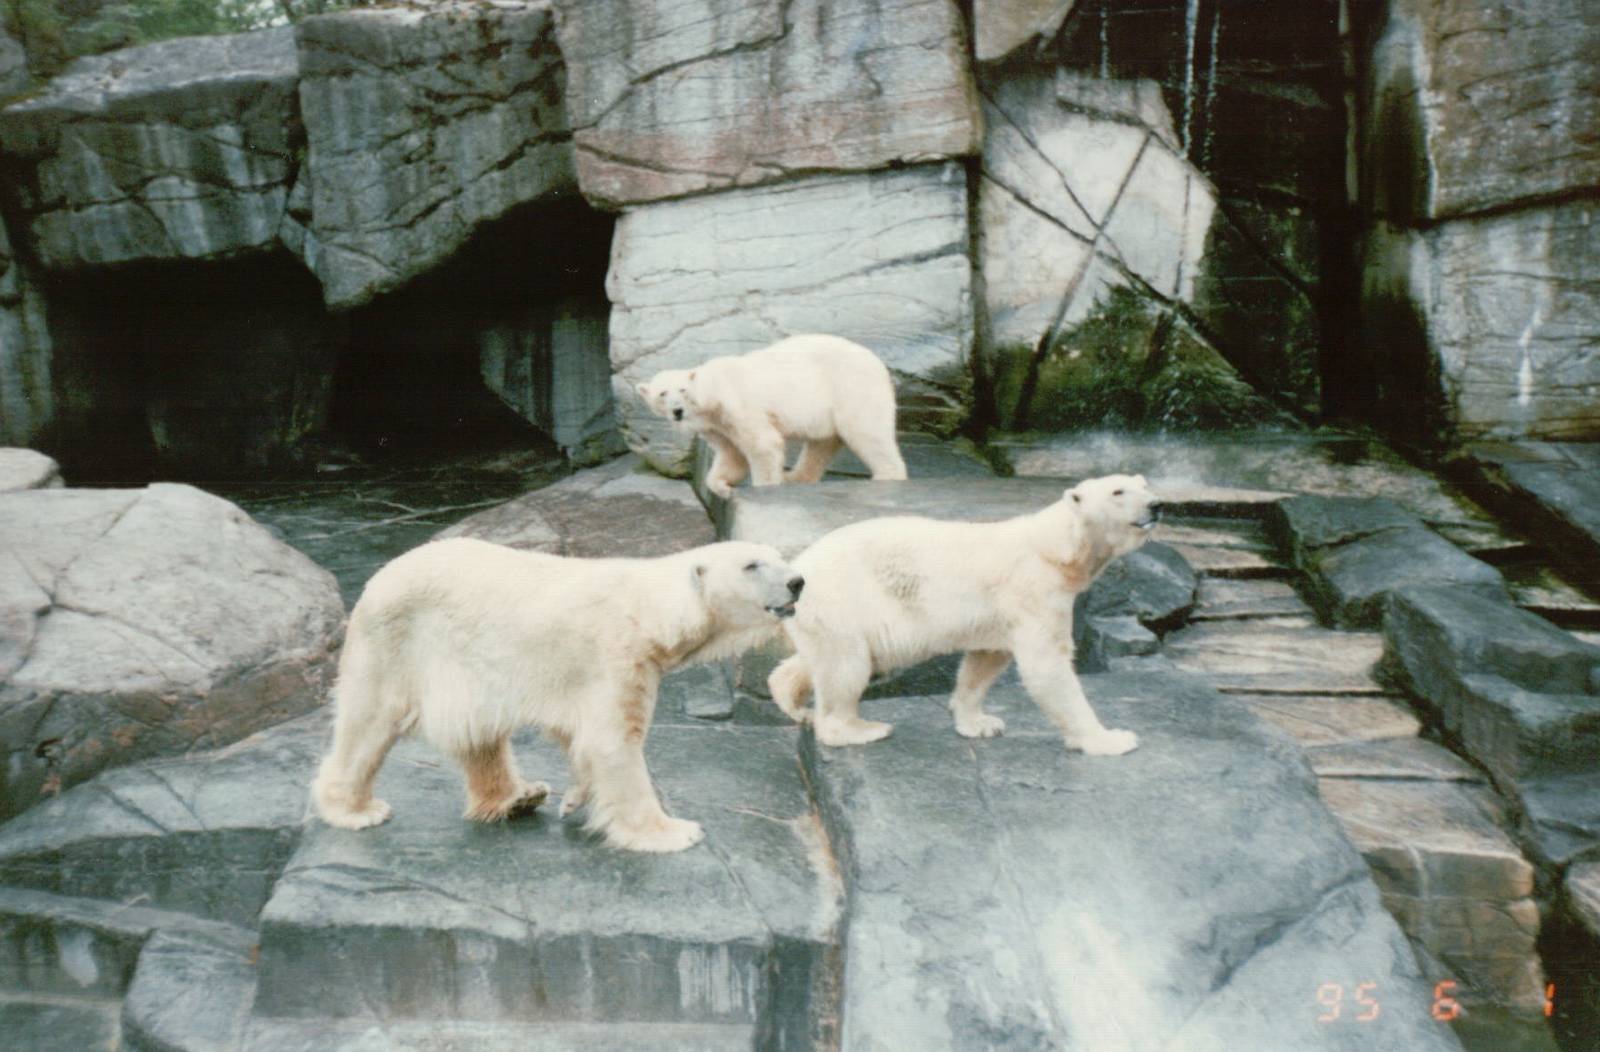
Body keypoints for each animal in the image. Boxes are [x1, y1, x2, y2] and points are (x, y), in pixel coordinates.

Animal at [311, 537, 804, 853]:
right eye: (752, 565)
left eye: (778, 557)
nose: (798, 581)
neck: (649, 610)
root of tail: (379, 577)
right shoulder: (617, 655)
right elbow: (612, 742)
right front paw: (673, 832)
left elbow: (578, 737)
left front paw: (575, 797)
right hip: (398, 639)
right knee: (370, 720)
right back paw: (354, 810)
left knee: (479, 733)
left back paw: (519, 796)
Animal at [637, 334, 908, 499]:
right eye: (662, 393)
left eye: (682, 390)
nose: (677, 410)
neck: (712, 394)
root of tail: (879, 365)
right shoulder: (716, 424)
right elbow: (732, 455)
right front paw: (720, 486)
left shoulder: (736, 404)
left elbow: (763, 444)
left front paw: (764, 486)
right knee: (820, 444)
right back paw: (795, 477)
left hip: (851, 388)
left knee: (866, 432)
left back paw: (887, 476)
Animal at [768, 474, 1162, 752]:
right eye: (1118, 491)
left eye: (1144, 483)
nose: (1157, 504)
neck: (1057, 548)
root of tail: (797, 568)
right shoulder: (1034, 592)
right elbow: (1047, 667)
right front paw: (1112, 739)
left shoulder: (1002, 613)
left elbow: (985, 660)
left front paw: (981, 723)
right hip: (844, 599)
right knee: (846, 666)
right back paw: (860, 729)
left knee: (822, 659)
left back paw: (793, 701)